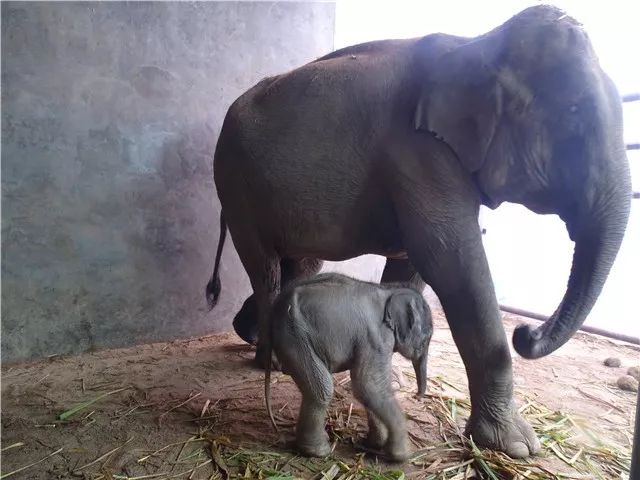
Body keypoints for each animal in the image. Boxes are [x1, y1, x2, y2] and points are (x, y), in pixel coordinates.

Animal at [262, 274, 432, 462]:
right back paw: (319, 452)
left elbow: (371, 390)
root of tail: (276, 305)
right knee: (322, 389)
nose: (417, 396)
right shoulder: (376, 339)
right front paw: (401, 455)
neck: (390, 289)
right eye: (426, 339)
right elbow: (368, 385)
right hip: (295, 336)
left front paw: (375, 444)